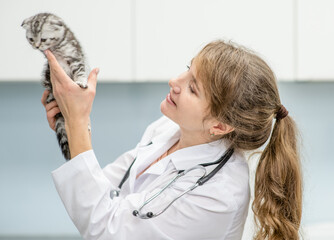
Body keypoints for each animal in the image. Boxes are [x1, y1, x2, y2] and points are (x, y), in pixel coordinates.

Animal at [21, 12, 89, 159]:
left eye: (43, 39)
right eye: (31, 39)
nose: (36, 46)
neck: (57, 47)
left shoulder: (75, 57)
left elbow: (80, 71)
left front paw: (81, 81)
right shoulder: (51, 67)